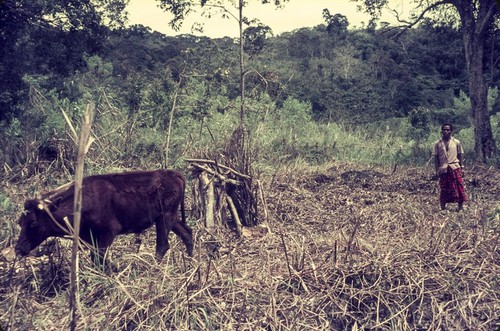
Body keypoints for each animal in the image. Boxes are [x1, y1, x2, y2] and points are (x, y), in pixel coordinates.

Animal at [14, 170, 194, 266]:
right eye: (19, 222)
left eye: (33, 223)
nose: (18, 249)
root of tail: (175, 174)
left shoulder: (108, 232)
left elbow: (98, 259)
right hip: (170, 217)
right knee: (187, 233)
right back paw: (191, 263)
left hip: (165, 217)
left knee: (163, 245)